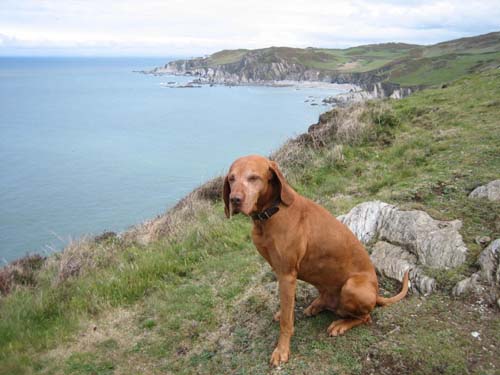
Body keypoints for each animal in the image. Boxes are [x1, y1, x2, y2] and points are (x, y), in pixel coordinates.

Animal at [225, 155, 408, 368]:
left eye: (253, 177)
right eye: (231, 179)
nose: (235, 200)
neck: (270, 213)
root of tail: (377, 294)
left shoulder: (286, 274)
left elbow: (286, 321)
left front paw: (282, 349)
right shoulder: (282, 273)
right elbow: (287, 308)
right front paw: (285, 314)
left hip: (352, 287)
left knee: (366, 317)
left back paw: (341, 324)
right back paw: (317, 305)